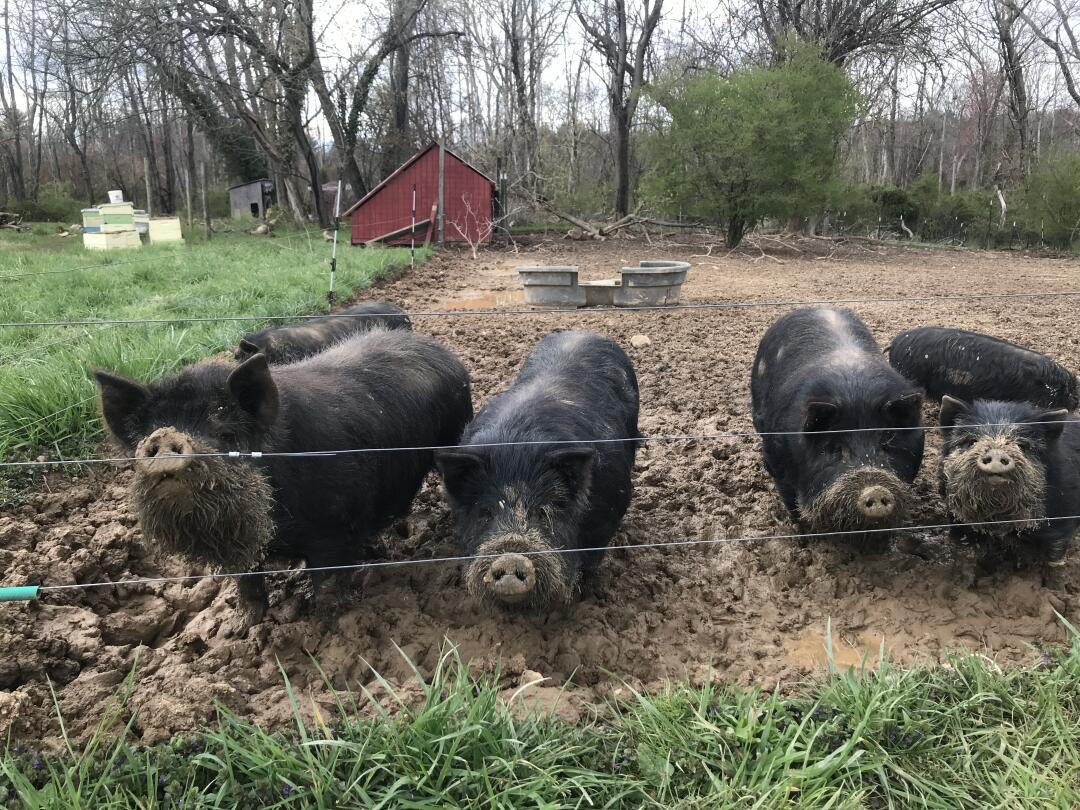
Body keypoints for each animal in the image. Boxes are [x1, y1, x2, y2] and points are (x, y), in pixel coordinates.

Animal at [93, 328, 472, 624]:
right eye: (146, 435)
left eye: (227, 435)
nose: (165, 437)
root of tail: (440, 349)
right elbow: (247, 583)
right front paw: (243, 626)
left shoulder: (332, 526)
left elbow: (328, 582)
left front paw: (329, 624)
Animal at [435, 331, 640, 613]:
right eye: (485, 512)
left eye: (543, 512)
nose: (511, 558)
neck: (517, 450)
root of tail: (582, 331)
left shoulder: (608, 515)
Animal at [751, 308, 925, 534]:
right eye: (835, 448)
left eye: (887, 441)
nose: (876, 491)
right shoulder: (775, 461)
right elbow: (793, 506)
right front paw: (804, 533)